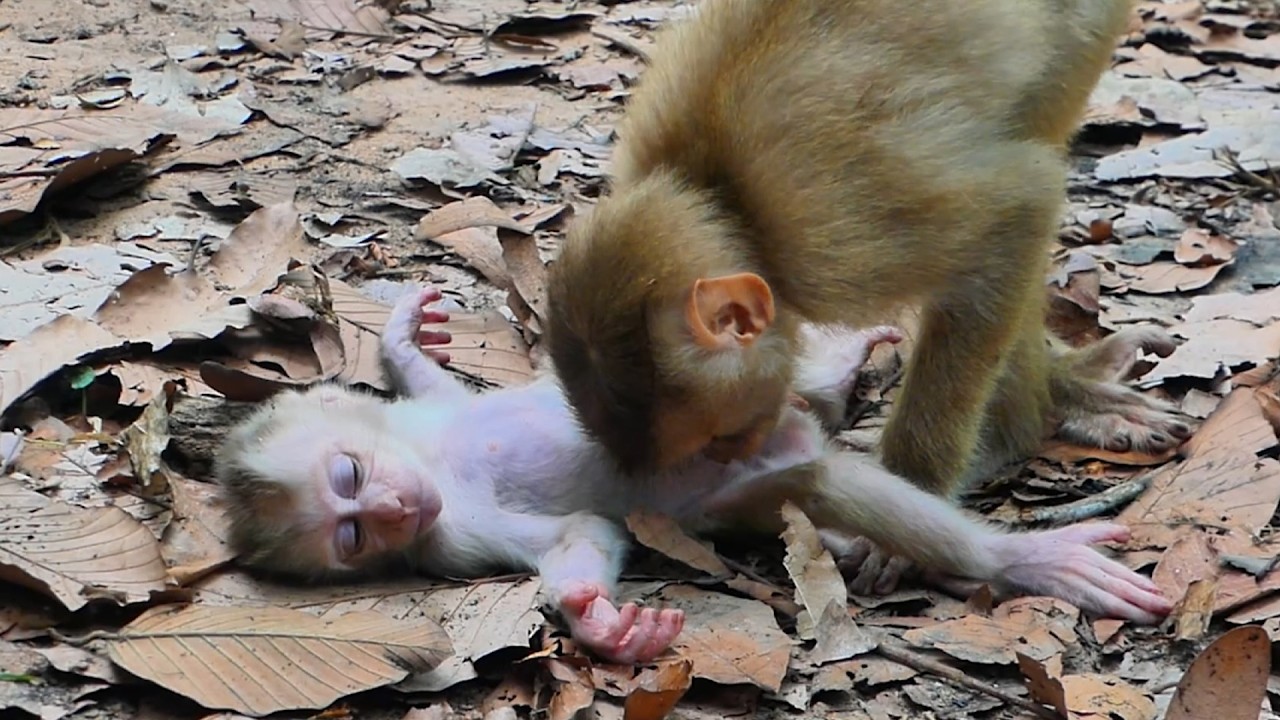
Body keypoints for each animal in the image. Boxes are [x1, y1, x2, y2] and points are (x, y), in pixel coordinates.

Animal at [215, 286, 1171, 665]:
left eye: (349, 474)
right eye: (352, 534)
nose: (392, 507)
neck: (433, 461)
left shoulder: (430, 438)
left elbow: (436, 387)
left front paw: (405, 339)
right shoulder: (447, 533)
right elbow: (585, 532)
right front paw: (600, 624)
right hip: (745, 479)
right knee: (815, 480)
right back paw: (1018, 560)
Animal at [541, 0, 1192, 592]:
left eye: (720, 436)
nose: (734, 458)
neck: (721, 198)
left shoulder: (835, 234)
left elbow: (1018, 207)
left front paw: (919, 490)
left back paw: (1028, 418)